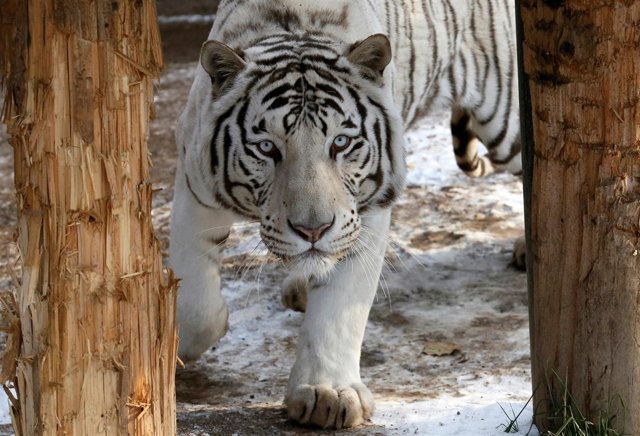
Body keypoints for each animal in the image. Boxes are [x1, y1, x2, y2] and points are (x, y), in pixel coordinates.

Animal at [170, 0, 520, 429]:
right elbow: (195, 302)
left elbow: (340, 308)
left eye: (340, 142)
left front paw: (328, 393)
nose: (313, 230)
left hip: (507, 119)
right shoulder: (195, 183)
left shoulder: (368, 211)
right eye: (267, 148)